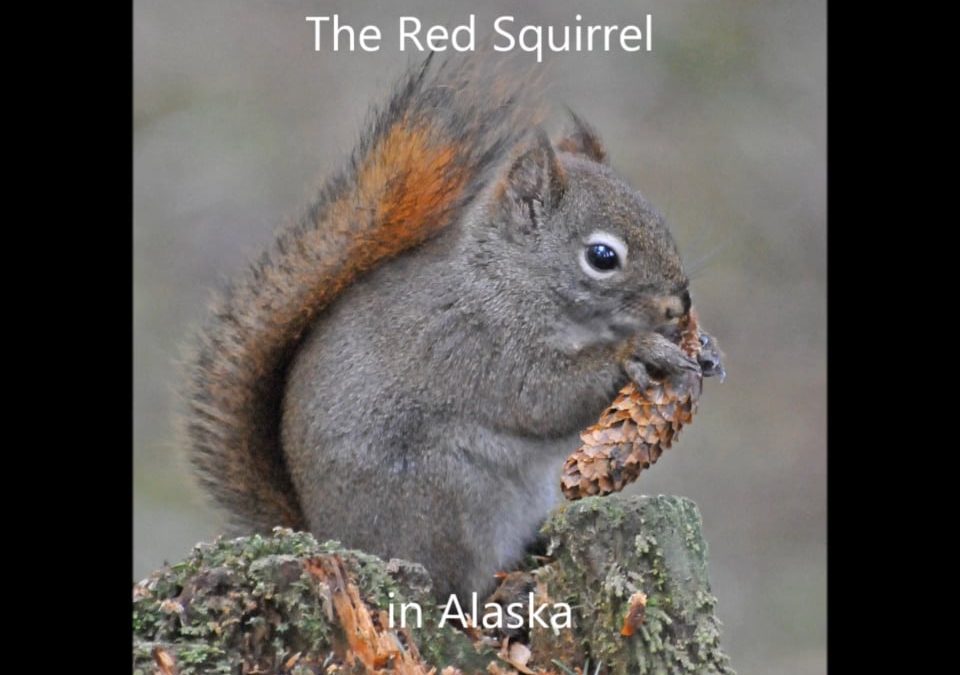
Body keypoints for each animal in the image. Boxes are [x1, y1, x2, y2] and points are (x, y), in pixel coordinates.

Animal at [181, 54, 720, 601]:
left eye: (658, 219)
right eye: (603, 257)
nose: (679, 305)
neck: (512, 277)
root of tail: (331, 535)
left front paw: (704, 349)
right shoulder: (478, 339)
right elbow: (543, 396)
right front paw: (640, 351)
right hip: (448, 499)